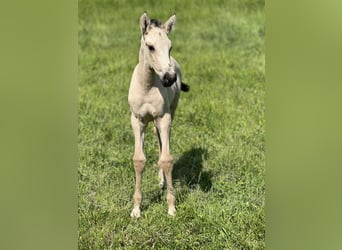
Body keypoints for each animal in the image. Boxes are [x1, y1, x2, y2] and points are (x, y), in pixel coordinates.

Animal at [127, 12, 188, 218]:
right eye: (150, 46)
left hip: (171, 112)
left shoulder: (164, 117)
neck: (147, 86)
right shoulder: (137, 120)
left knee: (163, 143)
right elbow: (139, 160)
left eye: (170, 46)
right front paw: (136, 209)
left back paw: (162, 181)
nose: (169, 79)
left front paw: (171, 207)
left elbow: (167, 159)